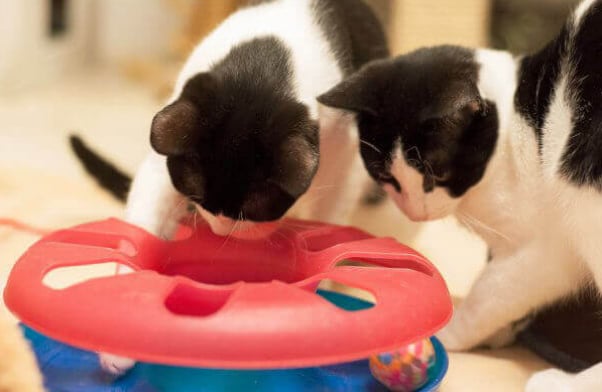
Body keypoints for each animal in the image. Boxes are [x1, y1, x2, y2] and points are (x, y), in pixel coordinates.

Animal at [90, 0, 390, 376]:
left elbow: (330, 221)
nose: (220, 230)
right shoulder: (163, 161)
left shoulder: (344, 155)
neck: (260, 70)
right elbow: (142, 225)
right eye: (200, 199)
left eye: (252, 211)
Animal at [322, 1, 602, 390]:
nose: (416, 212)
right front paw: (505, 332)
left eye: (436, 175)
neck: (520, 128)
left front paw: (450, 330)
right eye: (385, 176)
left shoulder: (543, 251)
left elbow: (491, 293)